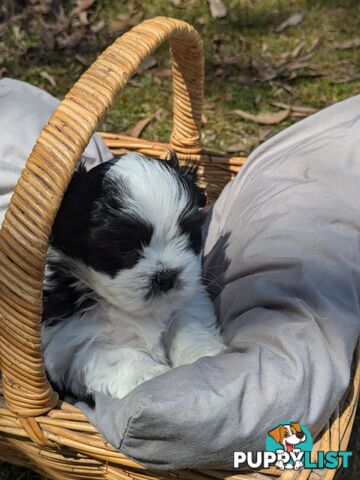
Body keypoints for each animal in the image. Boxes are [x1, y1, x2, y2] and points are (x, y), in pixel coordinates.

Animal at [42, 153, 226, 402]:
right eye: (125, 248)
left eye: (187, 234)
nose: (166, 276)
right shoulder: (76, 343)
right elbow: (120, 357)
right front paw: (153, 376)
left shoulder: (189, 303)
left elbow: (188, 327)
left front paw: (202, 356)